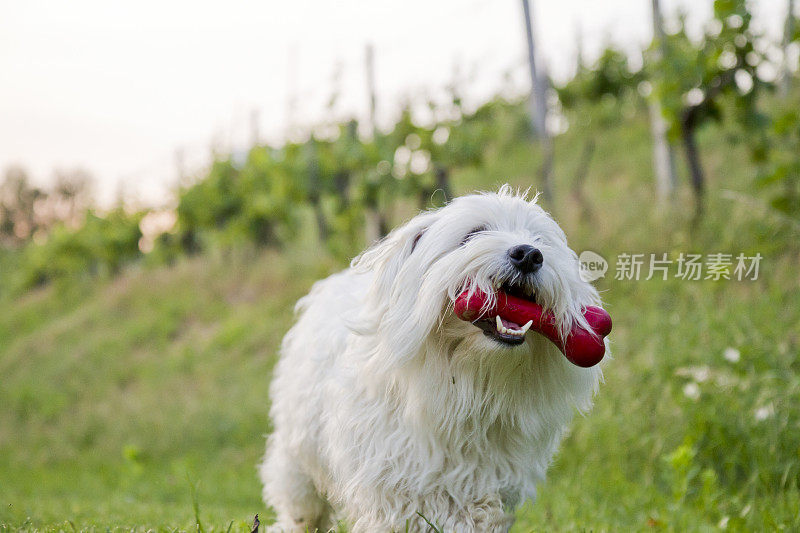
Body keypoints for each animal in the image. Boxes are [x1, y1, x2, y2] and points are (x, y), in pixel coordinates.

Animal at [260, 185, 604, 528]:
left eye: (540, 240)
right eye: (473, 234)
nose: (529, 255)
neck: (466, 377)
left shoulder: (485, 482)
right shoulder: (392, 478)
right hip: (298, 455)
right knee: (302, 506)